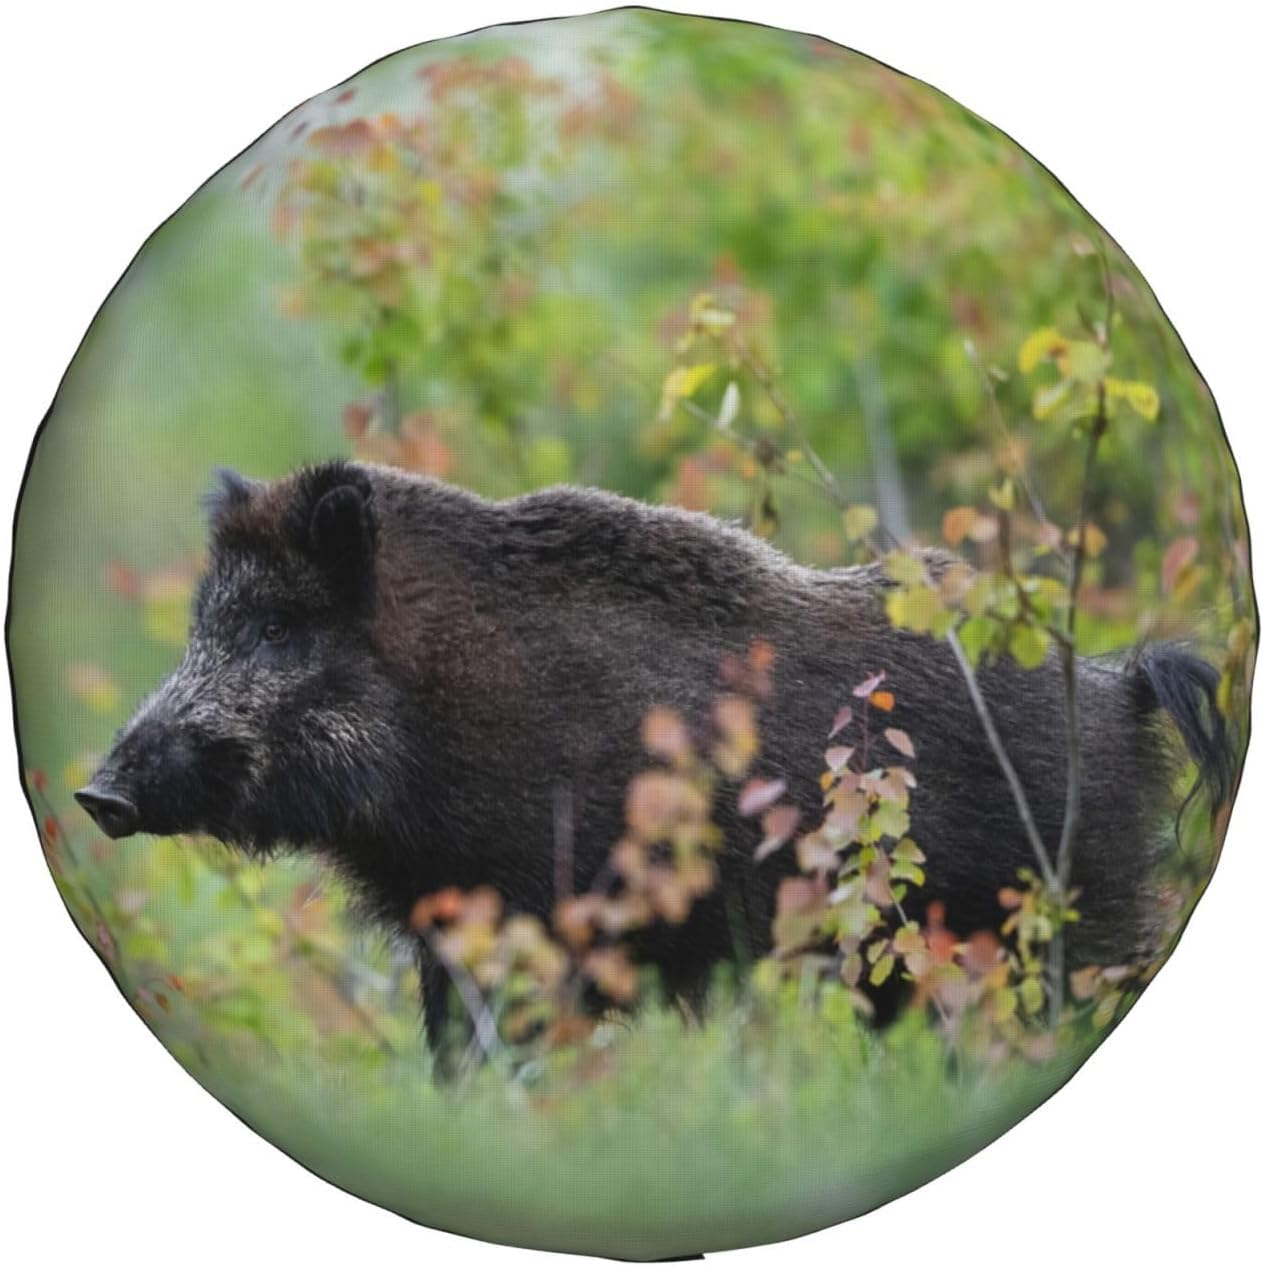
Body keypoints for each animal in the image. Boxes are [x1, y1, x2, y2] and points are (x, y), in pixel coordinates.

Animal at [76, 460, 1232, 1041]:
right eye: (203, 622)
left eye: (279, 628)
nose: (99, 794)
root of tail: (1121, 684)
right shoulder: (450, 932)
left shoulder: (551, 912)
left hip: (1059, 914)